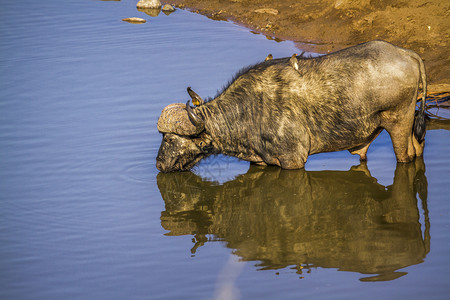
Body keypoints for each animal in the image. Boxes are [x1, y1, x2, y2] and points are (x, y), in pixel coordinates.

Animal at [156, 40, 428, 172]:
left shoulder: (293, 161)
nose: (159, 164)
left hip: (399, 123)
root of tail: (407, 53)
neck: (248, 110)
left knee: (405, 156)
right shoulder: (260, 162)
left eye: (169, 138)